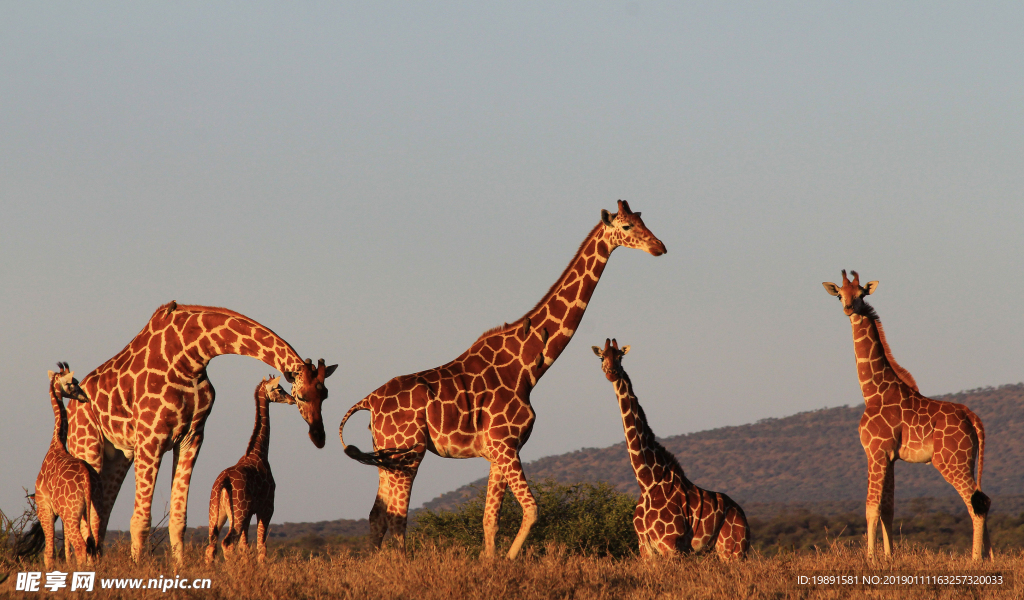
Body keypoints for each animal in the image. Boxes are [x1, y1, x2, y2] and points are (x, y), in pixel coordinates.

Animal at [202, 372, 292, 561]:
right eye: (279, 389)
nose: (292, 399)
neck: (259, 453)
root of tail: (224, 481)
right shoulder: (266, 508)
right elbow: (261, 547)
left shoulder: (250, 512)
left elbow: (245, 547)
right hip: (239, 512)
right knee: (227, 543)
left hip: (216, 512)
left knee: (211, 545)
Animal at [339, 199, 667, 556]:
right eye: (626, 227)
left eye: (643, 221)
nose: (659, 247)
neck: (527, 368)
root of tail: (368, 401)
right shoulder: (506, 445)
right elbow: (532, 509)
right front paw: (508, 560)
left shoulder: (497, 452)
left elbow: (490, 518)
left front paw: (490, 562)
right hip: (408, 453)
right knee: (396, 518)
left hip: (388, 456)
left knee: (377, 515)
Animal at [589, 337, 749, 556]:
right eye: (602, 357)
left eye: (620, 357)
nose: (611, 373)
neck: (648, 483)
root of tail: (743, 517)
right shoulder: (645, 547)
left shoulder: (670, 545)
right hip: (715, 551)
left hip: (733, 549)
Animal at [823, 270, 991, 561]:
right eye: (840, 295)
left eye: (860, 294)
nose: (848, 309)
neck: (873, 392)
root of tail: (972, 417)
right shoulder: (891, 457)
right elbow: (888, 510)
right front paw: (889, 557)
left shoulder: (875, 451)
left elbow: (871, 508)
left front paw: (871, 558)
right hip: (968, 459)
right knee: (985, 500)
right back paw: (991, 556)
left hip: (950, 461)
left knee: (975, 505)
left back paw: (974, 560)